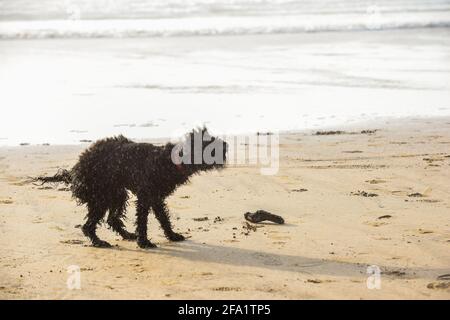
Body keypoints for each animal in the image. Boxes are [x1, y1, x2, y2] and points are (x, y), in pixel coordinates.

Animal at [35, 128, 227, 250]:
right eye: (209, 145)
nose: (226, 145)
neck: (167, 161)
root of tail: (75, 169)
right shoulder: (145, 196)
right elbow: (142, 221)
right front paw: (144, 242)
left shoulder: (156, 198)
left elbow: (164, 219)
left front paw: (172, 235)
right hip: (100, 197)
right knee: (88, 226)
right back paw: (99, 242)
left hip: (117, 194)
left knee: (112, 219)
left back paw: (127, 235)